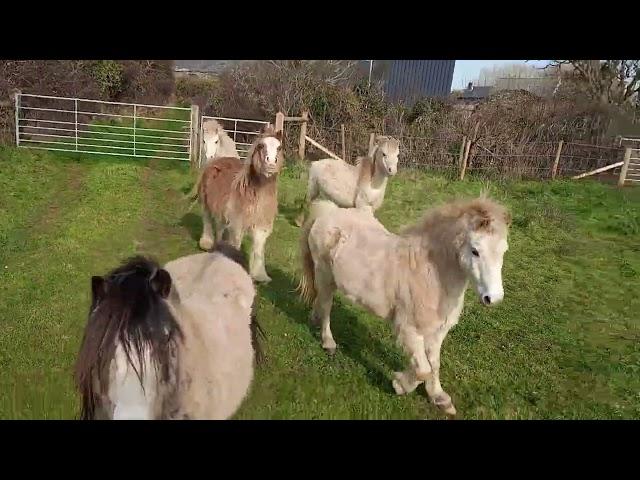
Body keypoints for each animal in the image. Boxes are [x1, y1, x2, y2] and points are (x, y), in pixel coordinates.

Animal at [198, 124, 282, 284]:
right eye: (261, 146)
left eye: (279, 147)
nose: (270, 164)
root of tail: (218, 159)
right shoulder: (237, 226)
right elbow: (236, 245)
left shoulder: (261, 226)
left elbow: (258, 249)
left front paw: (260, 275)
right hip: (206, 202)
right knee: (207, 219)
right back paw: (207, 243)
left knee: (220, 226)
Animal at [298, 195, 512, 416]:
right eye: (475, 251)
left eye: (504, 250)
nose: (493, 298)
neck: (429, 275)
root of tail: (328, 212)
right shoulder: (409, 330)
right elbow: (423, 369)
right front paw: (400, 384)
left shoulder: (437, 332)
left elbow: (433, 364)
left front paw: (439, 398)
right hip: (325, 277)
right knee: (326, 307)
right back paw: (328, 342)